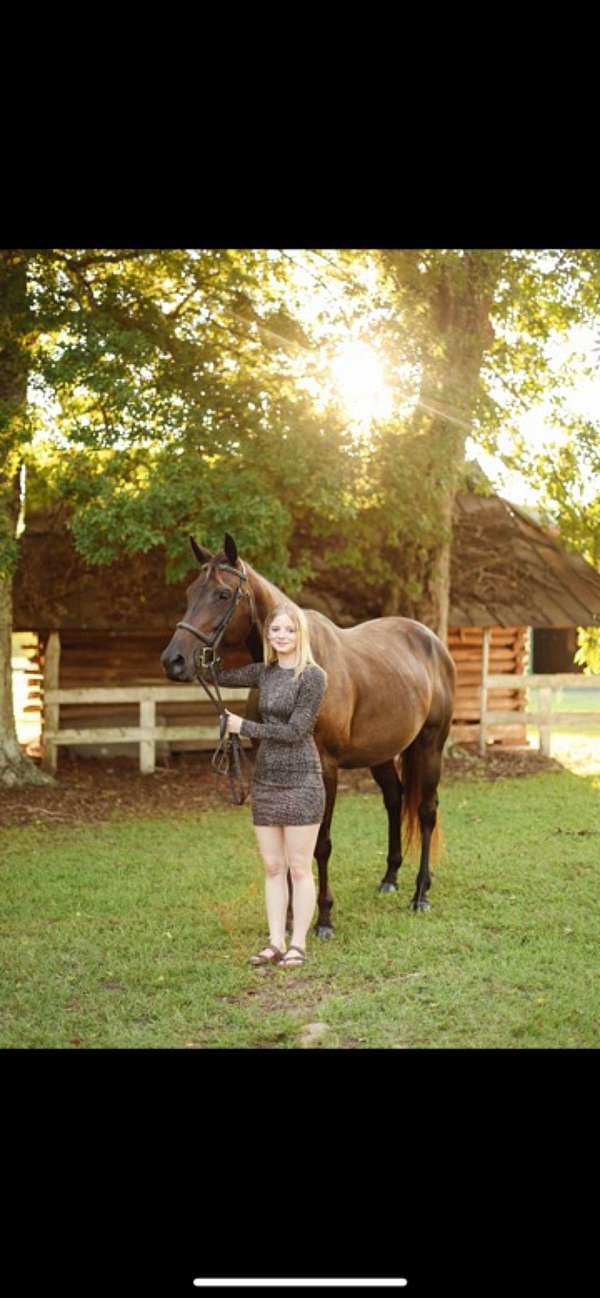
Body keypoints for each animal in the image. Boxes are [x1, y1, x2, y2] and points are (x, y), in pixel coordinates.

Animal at [160, 533, 456, 937]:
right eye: (191, 592)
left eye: (221, 594)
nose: (173, 660)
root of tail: (432, 643)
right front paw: (286, 918)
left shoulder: (325, 769)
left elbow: (320, 844)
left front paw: (324, 918)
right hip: (380, 753)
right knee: (395, 800)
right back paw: (390, 878)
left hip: (430, 745)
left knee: (426, 811)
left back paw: (420, 894)